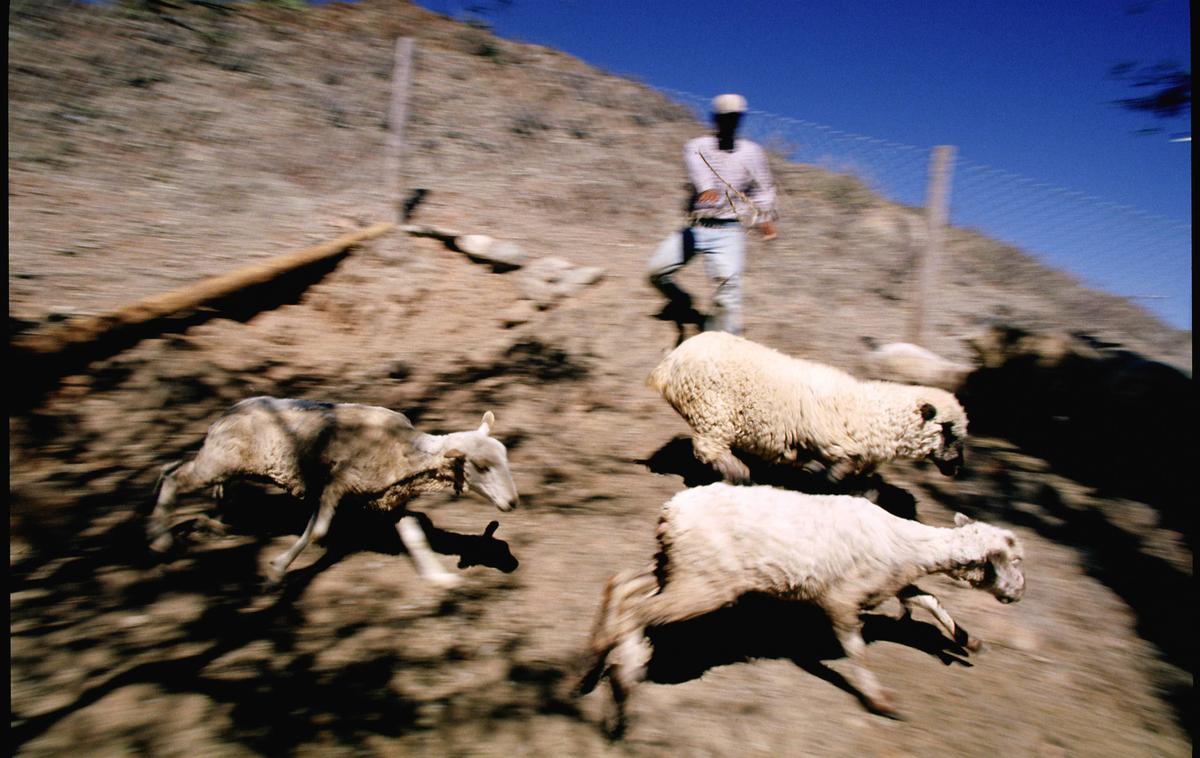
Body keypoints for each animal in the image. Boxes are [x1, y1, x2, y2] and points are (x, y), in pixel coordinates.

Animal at [146, 395, 520, 585]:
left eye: (505, 458)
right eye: (482, 467)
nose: (513, 502)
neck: (404, 452)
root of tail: (226, 413)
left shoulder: (389, 502)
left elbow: (414, 535)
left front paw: (437, 577)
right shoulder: (335, 485)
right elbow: (318, 530)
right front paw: (279, 568)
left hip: (224, 460)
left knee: (171, 468)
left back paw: (209, 520)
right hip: (220, 460)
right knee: (174, 477)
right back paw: (160, 538)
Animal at [585, 482, 1027, 724]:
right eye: (1014, 559)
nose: (1019, 593)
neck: (908, 544)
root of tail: (670, 512)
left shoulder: (885, 585)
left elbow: (929, 600)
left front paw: (968, 642)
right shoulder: (842, 601)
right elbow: (859, 651)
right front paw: (881, 702)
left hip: (679, 566)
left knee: (621, 585)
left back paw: (596, 659)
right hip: (702, 580)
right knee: (638, 607)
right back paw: (622, 681)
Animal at [652, 333, 969, 484]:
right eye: (947, 430)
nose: (957, 468)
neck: (870, 412)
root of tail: (671, 361)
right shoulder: (832, 444)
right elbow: (835, 472)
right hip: (712, 412)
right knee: (709, 449)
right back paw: (740, 474)